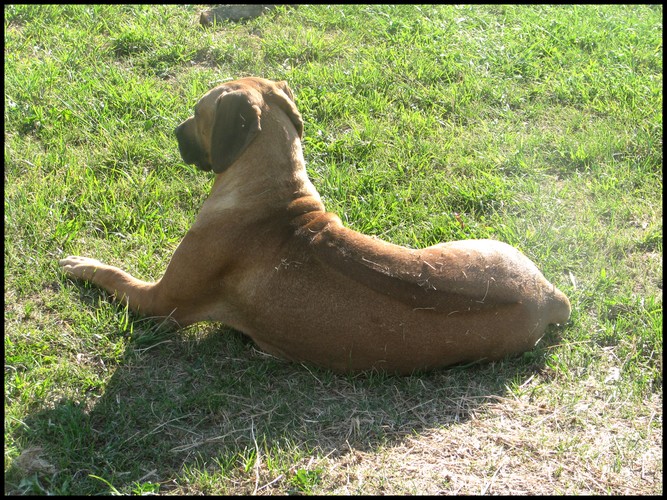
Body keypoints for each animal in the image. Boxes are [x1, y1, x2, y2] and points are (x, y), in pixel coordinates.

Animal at [58, 77, 568, 376]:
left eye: (197, 114)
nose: (174, 132)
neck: (274, 191)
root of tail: (547, 295)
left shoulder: (160, 302)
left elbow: (115, 274)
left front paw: (81, 263)